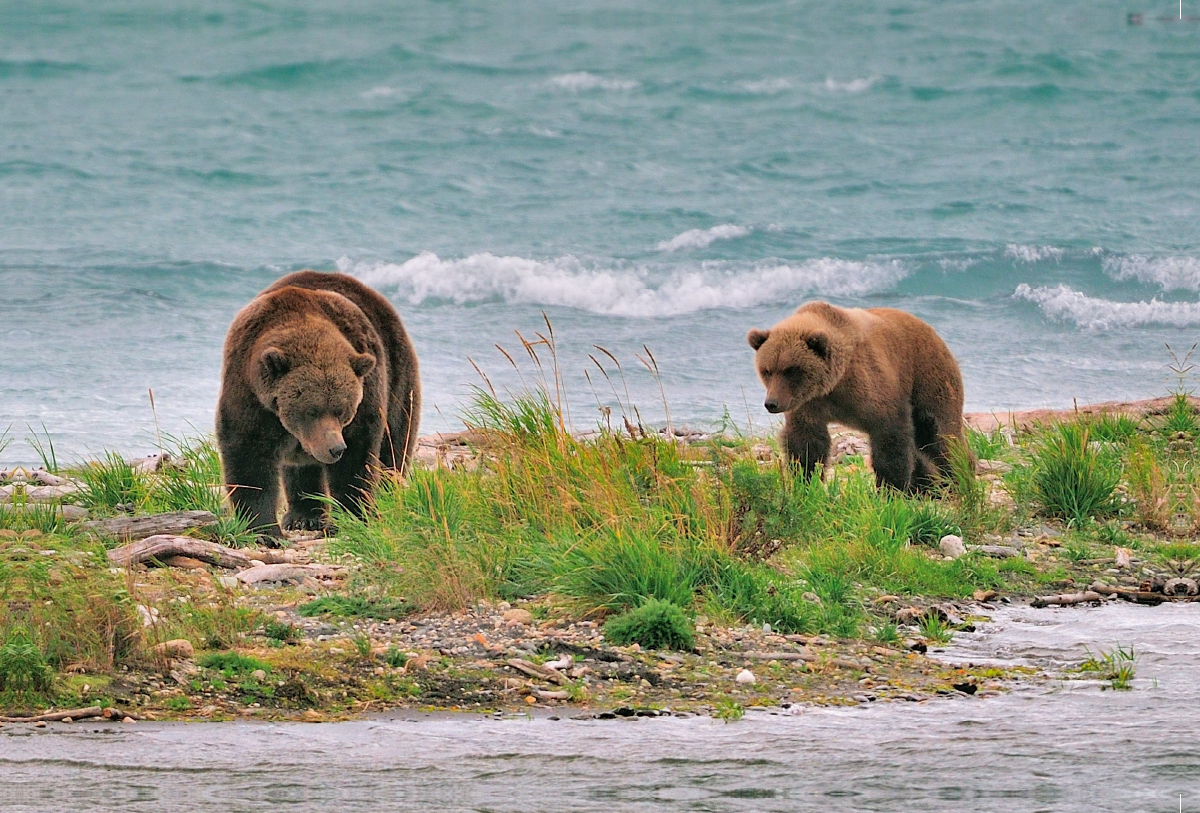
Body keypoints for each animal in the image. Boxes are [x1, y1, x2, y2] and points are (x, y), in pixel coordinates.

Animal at [218, 272, 420, 542]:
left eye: (342, 410)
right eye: (311, 410)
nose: (335, 448)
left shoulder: (367, 396)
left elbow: (357, 459)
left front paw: (352, 518)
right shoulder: (251, 393)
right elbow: (249, 454)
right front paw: (264, 530)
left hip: (397, 374)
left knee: (394, 445)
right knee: (301, 469)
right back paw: (303, 516)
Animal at [748, 302, 964, 494]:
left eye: (790, 370)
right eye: (767, 370)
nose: (772, 403)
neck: (834, 384)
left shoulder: (871, 386)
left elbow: (890, 435)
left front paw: (890, 488)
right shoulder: (808, 405)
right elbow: (806, 444)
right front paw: (805, 482)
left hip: (928, 377)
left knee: (940, 435)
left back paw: (959, 479)